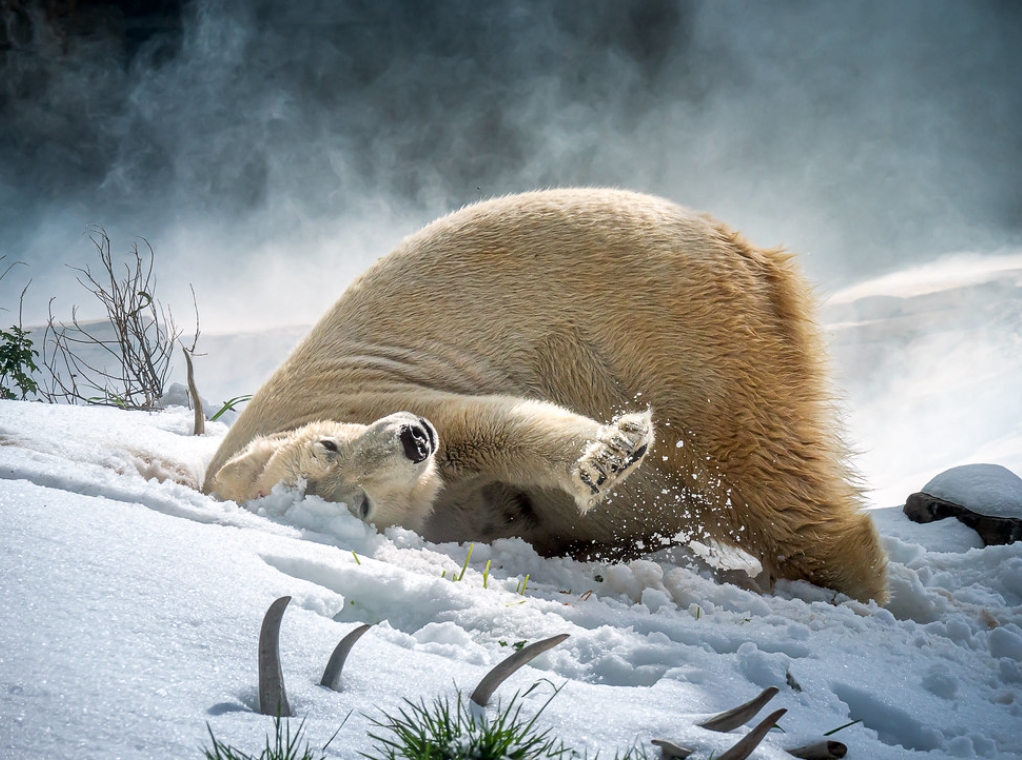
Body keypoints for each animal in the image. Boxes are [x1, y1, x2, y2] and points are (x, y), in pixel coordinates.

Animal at [204, 188, 888, 604]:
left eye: (327, 446)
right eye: (361, 505)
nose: (412, 439)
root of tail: (748, 251)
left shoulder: (367, 391)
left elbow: (492, 425)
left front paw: (608, 457)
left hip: (669, 328)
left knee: (757, 469)